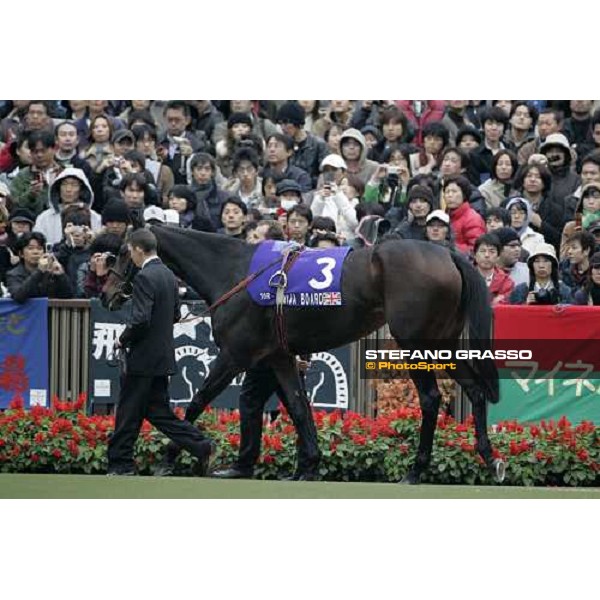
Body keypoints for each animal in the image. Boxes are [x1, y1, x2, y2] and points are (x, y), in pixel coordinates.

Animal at [103, 225, 506, 482]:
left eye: (121, 252)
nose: (107, 294)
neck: (233, 271)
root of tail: (448, 254)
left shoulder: (233, 354)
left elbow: (197, 401)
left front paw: (178, 455)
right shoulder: (279, 357)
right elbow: (297, 407)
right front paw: (307, 465)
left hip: (415, 343)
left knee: (430, 398)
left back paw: (416, 470)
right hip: (444, 342)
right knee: (473, 390)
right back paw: (490, 459)